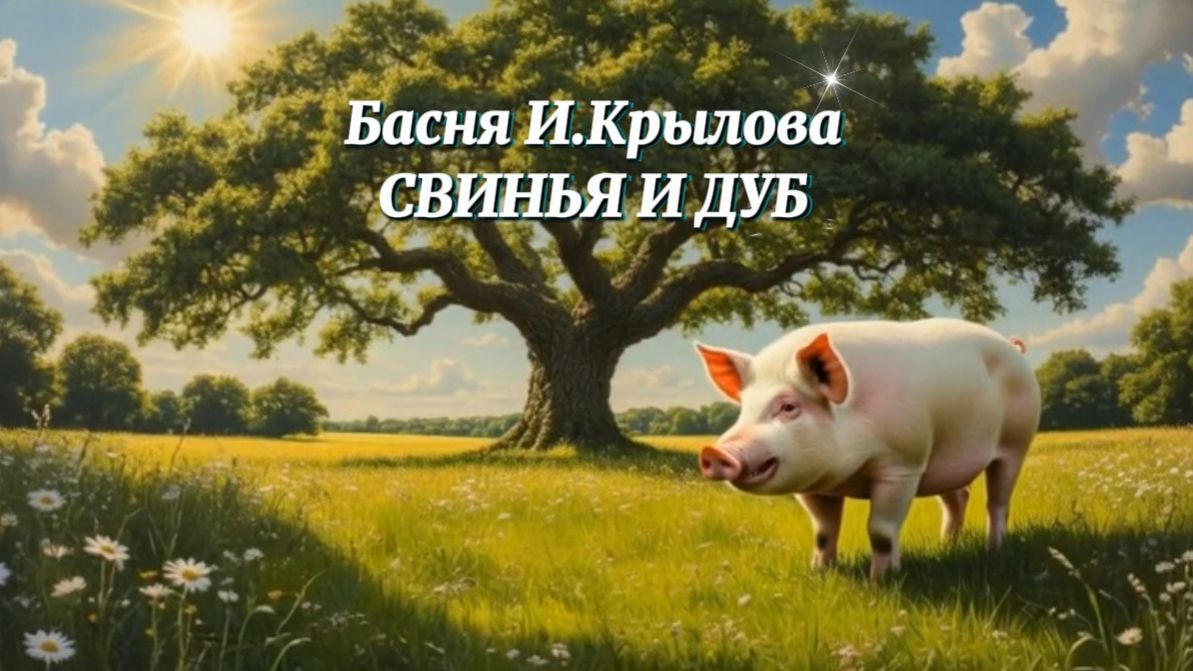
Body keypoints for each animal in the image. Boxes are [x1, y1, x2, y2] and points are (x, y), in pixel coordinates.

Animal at [694, 318, 1040, 580]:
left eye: (789, 406)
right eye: (744, 408)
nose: (714, 452)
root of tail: (1012, 347)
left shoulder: (903, 465)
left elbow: (881, 532)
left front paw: (882, 581)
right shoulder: (815, 486)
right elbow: (823, 532)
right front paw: (820, 573)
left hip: (1016, 443)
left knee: (997, 503)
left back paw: (994, 550)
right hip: (944, 460)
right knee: (958, 497)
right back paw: (947, 546)